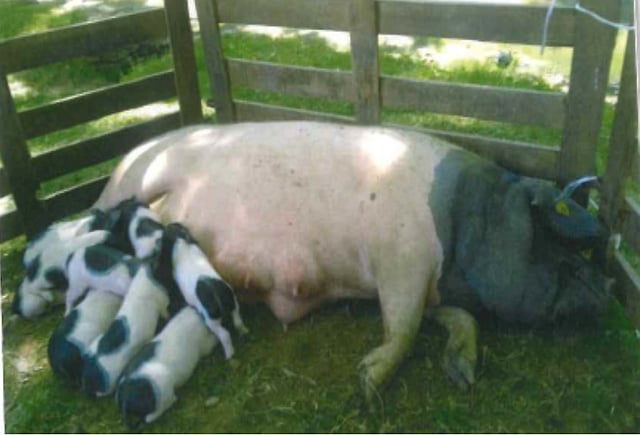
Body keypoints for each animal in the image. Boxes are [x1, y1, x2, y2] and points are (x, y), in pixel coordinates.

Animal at [93, 121, 611, 400]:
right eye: (557, 245)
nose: (605, 291)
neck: (466, 220)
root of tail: (122, 162)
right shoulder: (402, 261)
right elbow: (402, 328)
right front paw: (367, 385)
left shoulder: (428, 283)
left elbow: (456, 318)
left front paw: (463, 377)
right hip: (133, 185)